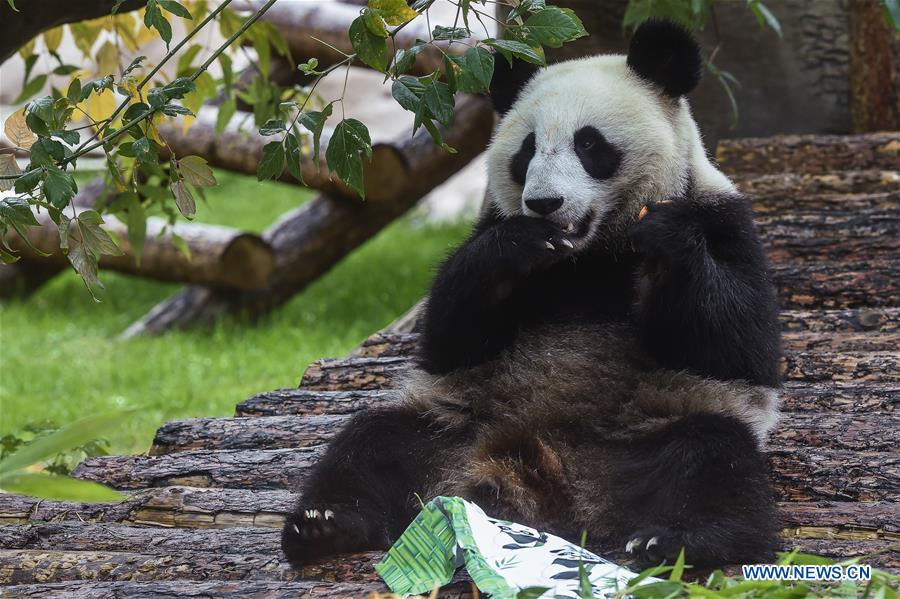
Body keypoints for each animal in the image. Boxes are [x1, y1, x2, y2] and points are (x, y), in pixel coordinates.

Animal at [282, 18, 780, 568]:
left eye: (590, 145)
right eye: (527, 151)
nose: (545, 203)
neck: (590, 253)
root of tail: (540, 475)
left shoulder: (723, 219)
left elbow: (740, 345)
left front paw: (664, 240)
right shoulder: (492, 227)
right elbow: (450, 338)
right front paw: (517, 246)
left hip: (652, 429)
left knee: (711, 460)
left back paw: (680, 539)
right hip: (451, 422)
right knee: (372, 442)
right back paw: (324, 524)